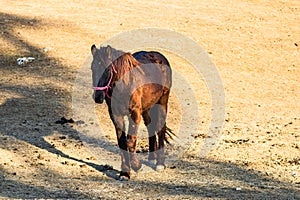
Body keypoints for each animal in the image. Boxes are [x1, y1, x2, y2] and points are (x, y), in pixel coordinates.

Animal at [90, 45, 172, 180]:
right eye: (92, 68)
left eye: (107, 70)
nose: (98, 96)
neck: (124, 85)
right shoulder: (116, 115)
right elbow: (122, 142)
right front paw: (125, 172)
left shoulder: (134, 113)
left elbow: (130, 140)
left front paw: (136, 166)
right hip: (147, 108)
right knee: (150, 127)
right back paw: (151, 158)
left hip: (162, 102)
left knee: (160, 128)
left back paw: (160, 163)